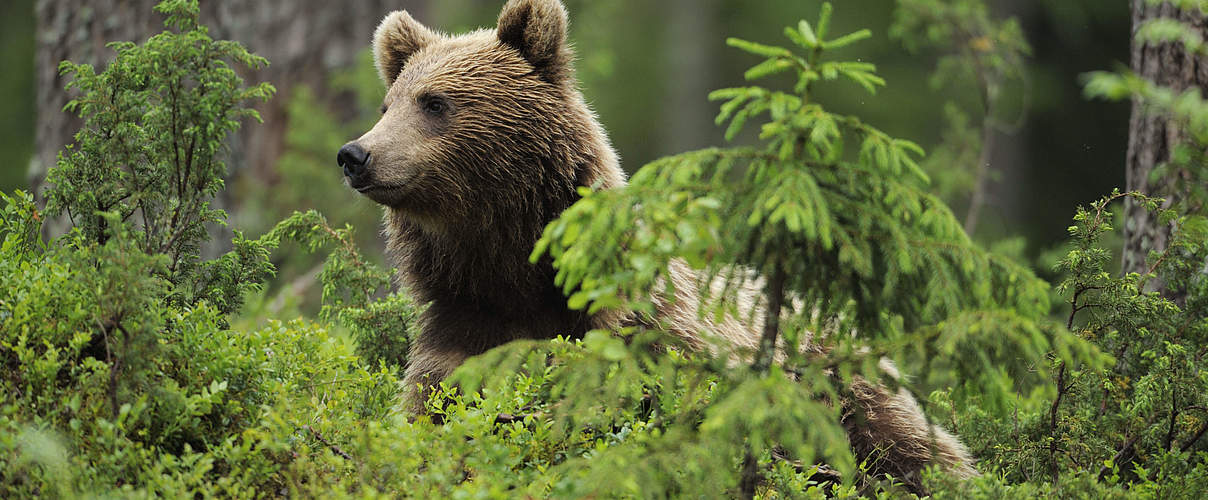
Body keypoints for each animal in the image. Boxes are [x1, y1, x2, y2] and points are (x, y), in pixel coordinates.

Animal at [338, 0, 980, 485]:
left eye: (435, 102)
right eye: (388, 103)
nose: (356, 154)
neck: (515, 271)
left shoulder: (653, 339)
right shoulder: (460, 339)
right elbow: (438, 423)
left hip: (843, 379)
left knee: (912, 446)